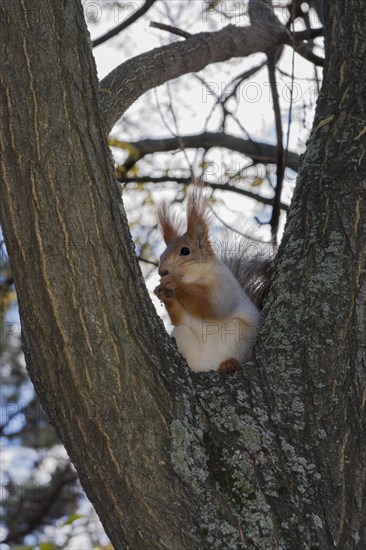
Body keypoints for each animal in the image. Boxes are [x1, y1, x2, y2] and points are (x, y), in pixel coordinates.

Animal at [153, 185, 274, 376]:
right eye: (161, 255)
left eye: (185, 251)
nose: (162, 271)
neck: (197, 279)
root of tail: (209, 366)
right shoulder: (183, 317)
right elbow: (179, 318)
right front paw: (162, 293)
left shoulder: (225, 288)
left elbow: (212, 306)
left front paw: (174, 283)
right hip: (183, 335)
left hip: (239, 333)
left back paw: (229, 364)